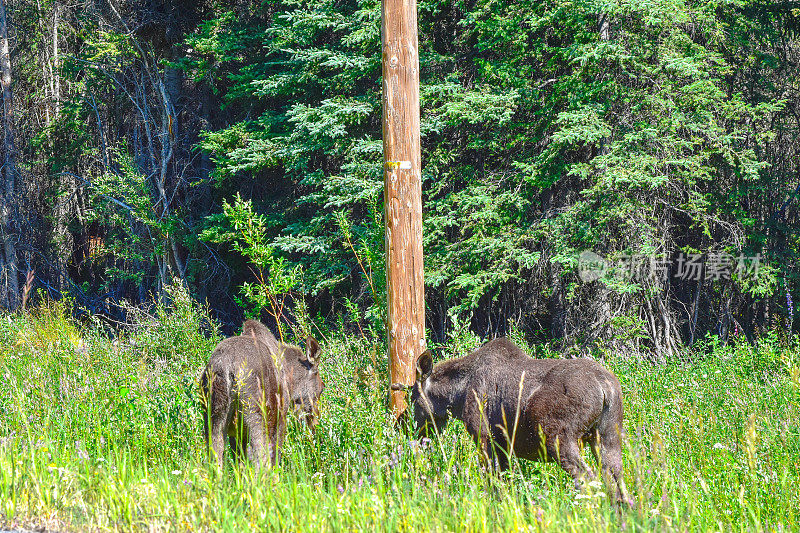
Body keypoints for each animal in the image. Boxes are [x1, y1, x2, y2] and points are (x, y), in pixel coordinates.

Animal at [200, 318, 324, 468]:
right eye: (322, 388)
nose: (315, 422)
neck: (291, 382)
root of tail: (227, 367)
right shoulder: (280, 416)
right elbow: (275, 454)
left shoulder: (237, 433)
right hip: (256, 413)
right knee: (259, 456)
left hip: (214, 414)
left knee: (215, 456)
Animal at [406, 336, 632, 502]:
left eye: (413, 399)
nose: (412, 431)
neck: (457, 396)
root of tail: (605, 387)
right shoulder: (504, 445)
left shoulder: (485, 437)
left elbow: (494, 484)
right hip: (607, 436)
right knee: (618, 485)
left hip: (558, 438)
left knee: (590, 481)